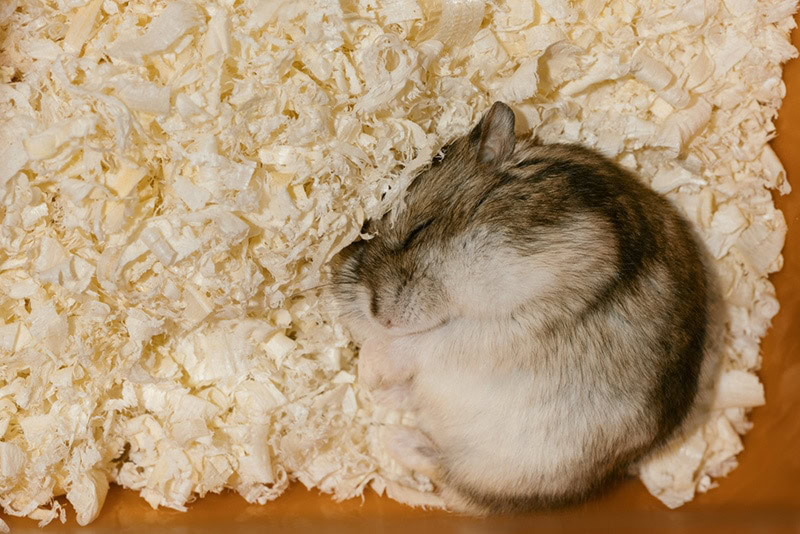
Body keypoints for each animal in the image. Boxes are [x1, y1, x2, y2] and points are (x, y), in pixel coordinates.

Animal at [331, 102, 721, 514]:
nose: (378, 314)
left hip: (504, 470)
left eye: (419, 229)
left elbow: (432, 341)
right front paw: (369, 372)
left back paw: (391, 434)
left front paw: (368, 370)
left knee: (451, 478)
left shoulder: (518, 321)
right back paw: (387, 412)